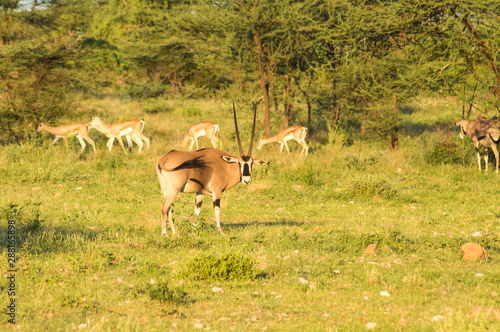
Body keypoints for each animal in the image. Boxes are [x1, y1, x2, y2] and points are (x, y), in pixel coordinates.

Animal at [157, 104, 270, 236]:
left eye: (251, 163)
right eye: (240, 163)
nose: (246, 180)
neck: (225, 165)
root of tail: (164, 158)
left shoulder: (200, 192)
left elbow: (197, 210)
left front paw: (194, 230)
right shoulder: (217, 191)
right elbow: (217, 210)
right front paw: (220, 231)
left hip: (166, 189)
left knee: (169, 208)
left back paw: (175, 232)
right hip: (174, 189)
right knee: (164, 206)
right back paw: (164, 233)